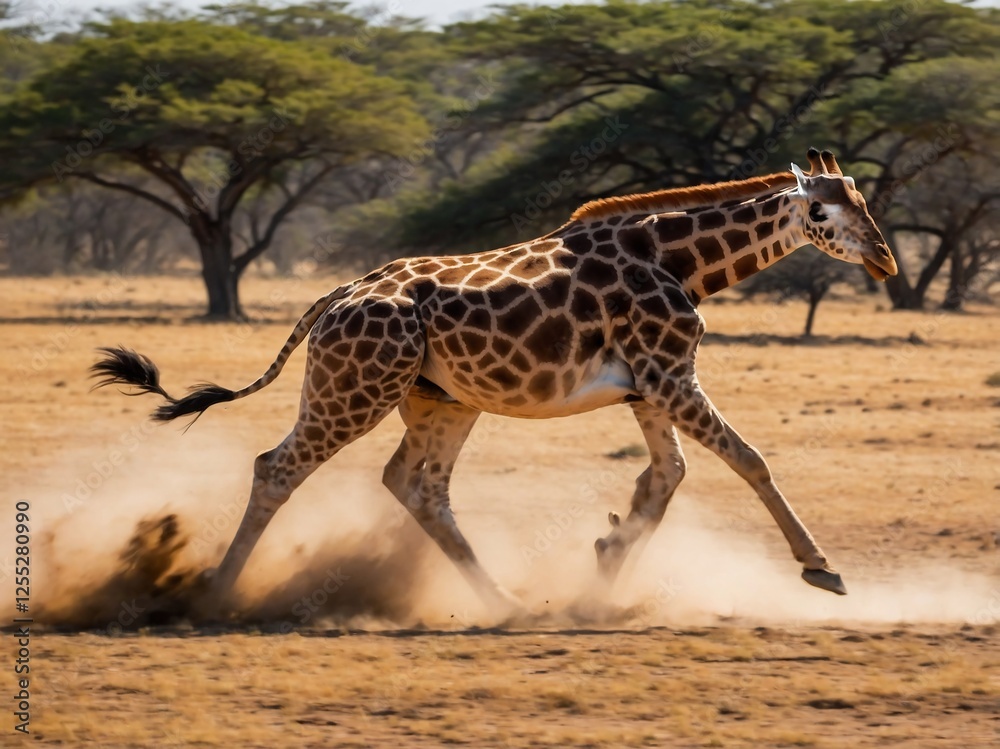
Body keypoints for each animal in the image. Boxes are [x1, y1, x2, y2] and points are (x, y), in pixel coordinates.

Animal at [92, 148, 897, 618]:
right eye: (821, 209)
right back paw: (215, 596)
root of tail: (334, 299)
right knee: (277, 467)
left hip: (437, 401)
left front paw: (602, 570)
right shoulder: (668, 375)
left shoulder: (649, 385)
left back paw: (505, 600)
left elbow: (664, 480)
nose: (886, 260)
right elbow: (748, 460)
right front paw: (822, 570)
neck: (678, 259)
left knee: (417, 485)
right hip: (355, 390)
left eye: (865, 202)